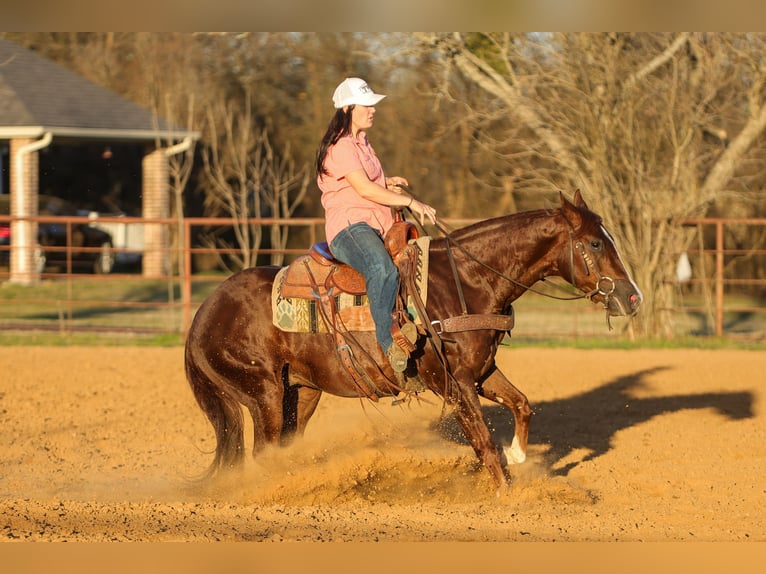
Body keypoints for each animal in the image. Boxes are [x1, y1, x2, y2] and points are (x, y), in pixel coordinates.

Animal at [184, 191, 642, 491]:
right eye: (595, 242)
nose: (632, 296)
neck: (464, 281)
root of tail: (202, 315)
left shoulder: (481, 372)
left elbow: (522, 405)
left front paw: (518, 458)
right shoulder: (453, 384)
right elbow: (483, 443)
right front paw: (506, 495)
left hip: (301, 393)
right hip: (263, 394)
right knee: (262, 454)